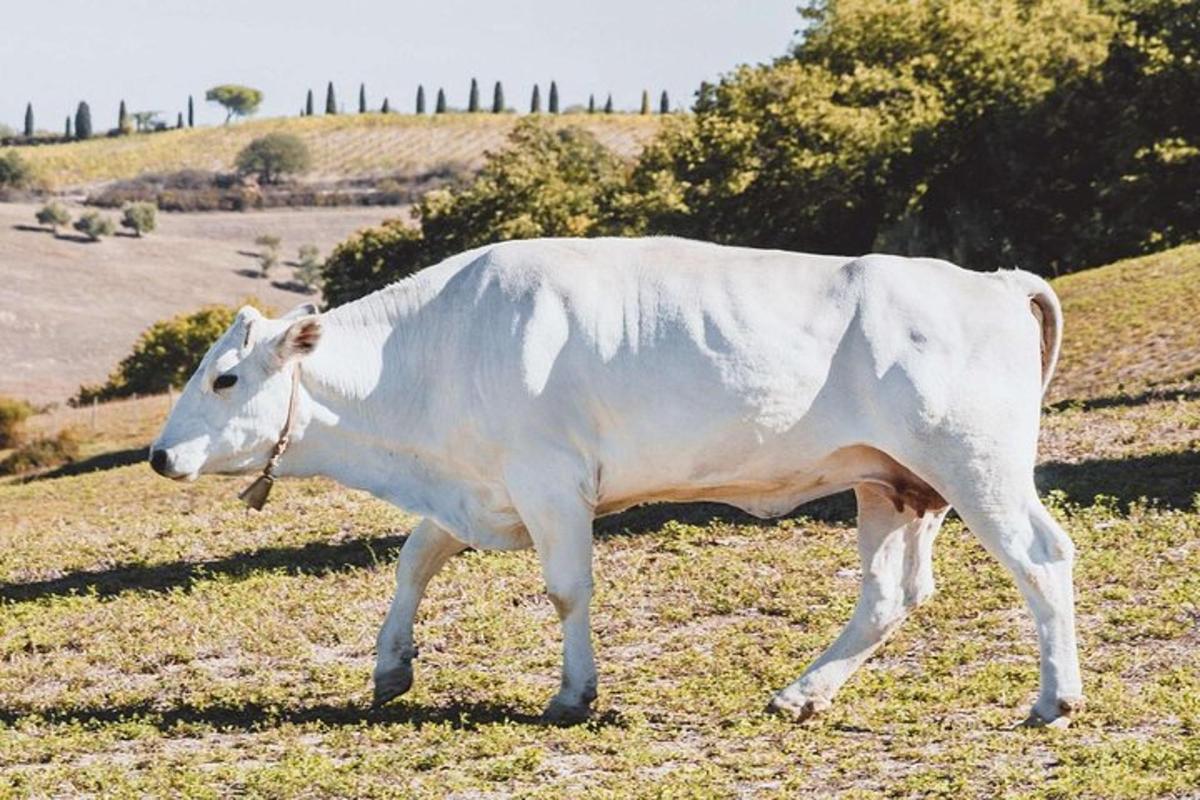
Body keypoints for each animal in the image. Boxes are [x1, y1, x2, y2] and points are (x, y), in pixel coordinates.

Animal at [150, 237, 1082, 726]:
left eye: (225, 378)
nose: (159, 456)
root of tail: (993, 279)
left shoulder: (549, 480)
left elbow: (566, 589)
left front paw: (573, 693)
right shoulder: (480, 486)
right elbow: (414, 560)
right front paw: (390, 667)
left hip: (976, 463)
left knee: (1041, 558)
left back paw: (1055, 697)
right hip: (894, 484)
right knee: (891, 595)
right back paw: (801, 693)